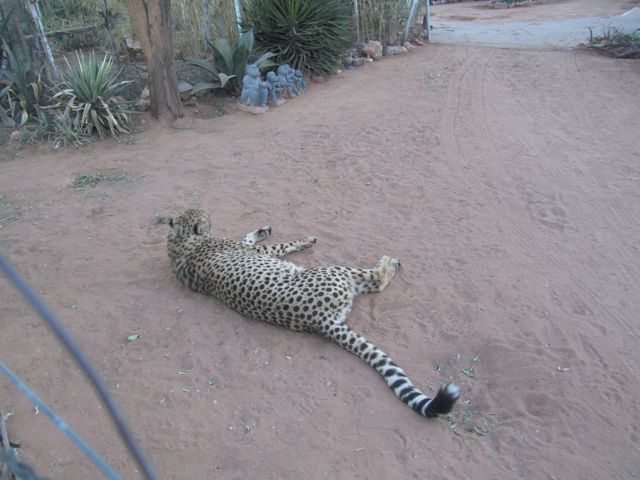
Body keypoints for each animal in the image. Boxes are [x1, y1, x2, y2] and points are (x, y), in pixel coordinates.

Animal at [158, 209, 462, 416]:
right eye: (204, 217)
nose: (210, 217)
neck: (180, 242)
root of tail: (319, 320)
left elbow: (250, 238)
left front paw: (263, 229)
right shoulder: (258, 252)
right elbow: (277, 245)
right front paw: (303, 240)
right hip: (338, 271)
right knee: (376, 280)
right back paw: (388, 263)